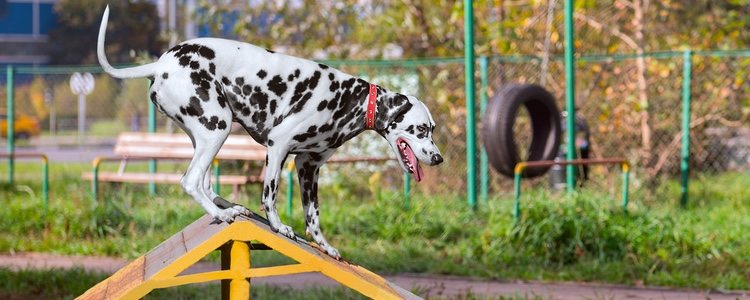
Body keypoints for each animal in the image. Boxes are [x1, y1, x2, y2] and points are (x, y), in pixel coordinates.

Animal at [97, 6, 444, 258]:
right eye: (420, 129)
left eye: (432, 129)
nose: (438, 158)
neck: (351, 99)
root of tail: (161, 64)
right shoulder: (279, 146)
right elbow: (270, 195)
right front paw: (278, 227)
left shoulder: (308, 166)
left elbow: (313, 217)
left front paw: (326, 246)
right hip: (218, 128)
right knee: (191, 181)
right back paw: (222, 214)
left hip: (207, 134)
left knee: (205, 181)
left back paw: (228, 208)